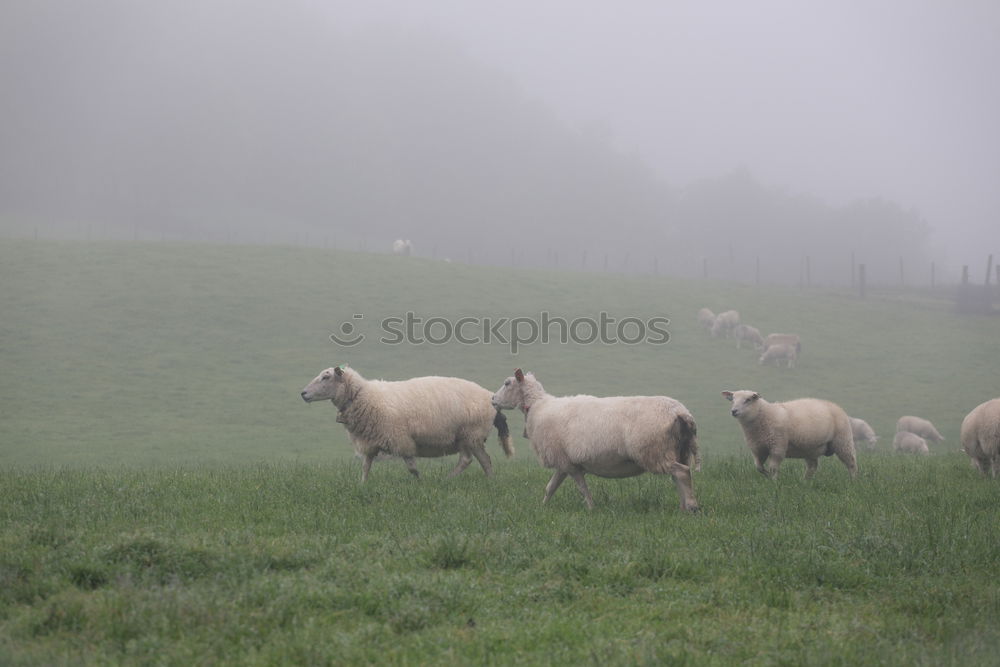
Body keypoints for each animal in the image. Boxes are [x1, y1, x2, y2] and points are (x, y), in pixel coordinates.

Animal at [300, 368, 512, 482]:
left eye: (326, 377)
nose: (303, 393)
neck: (363, 396)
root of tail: (491, 397)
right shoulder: (370, 440)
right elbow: (366, 466)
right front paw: (362, 485)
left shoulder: (400, 439)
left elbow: (411, 467)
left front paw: (420, 483)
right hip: (464, 437)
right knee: (470, 460)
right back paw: (455, 479)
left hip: (472, 434)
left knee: (481, 460)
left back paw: (480, 480)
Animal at [490, 370, 700, 512]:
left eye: (507, 383)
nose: (492, 399)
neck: (538, 406)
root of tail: (681, 412)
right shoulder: (564, 461)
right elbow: (550, 487)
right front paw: (543, 507)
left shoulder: (568, 463)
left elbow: (582, 488)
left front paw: (591, 508)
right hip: (678, 450)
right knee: (679, 475)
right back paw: (683, 507)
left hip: (654, 451)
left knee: (682, 472)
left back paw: (692, 507)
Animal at [720, 392, 860, 480]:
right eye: (733, 400)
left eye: (748, 400)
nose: (734, 411)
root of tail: (834, 405)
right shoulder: (758, 449)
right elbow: (759, 467)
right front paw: (766, 475)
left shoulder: (778, 446)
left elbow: (773, 468)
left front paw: (774, 482)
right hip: (809, 448)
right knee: (812, 467)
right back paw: (805, 482)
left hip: (842, 441)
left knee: (851, 462)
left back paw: (853, 481)